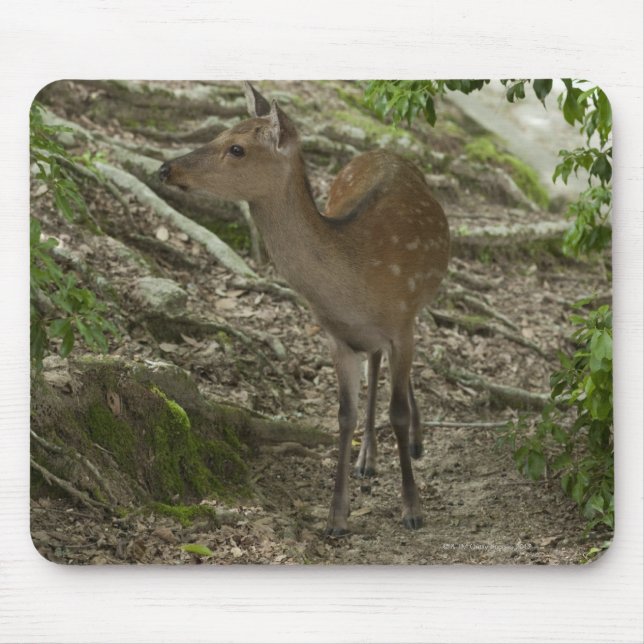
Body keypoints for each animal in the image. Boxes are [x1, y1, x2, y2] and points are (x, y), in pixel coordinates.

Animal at [158, 82, 450, 537]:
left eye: (237, 148)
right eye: (221, 132)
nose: (166, 169)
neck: (357, 279)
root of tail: (385, 150)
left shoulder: (401, 321)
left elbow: (398, 412)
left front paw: (412, 509)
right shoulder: (336, 335)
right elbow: (344, 415)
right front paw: (336, 517)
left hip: (416, 310)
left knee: (393, 373)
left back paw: (413, 443)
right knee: (376, 363)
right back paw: (368, 460)